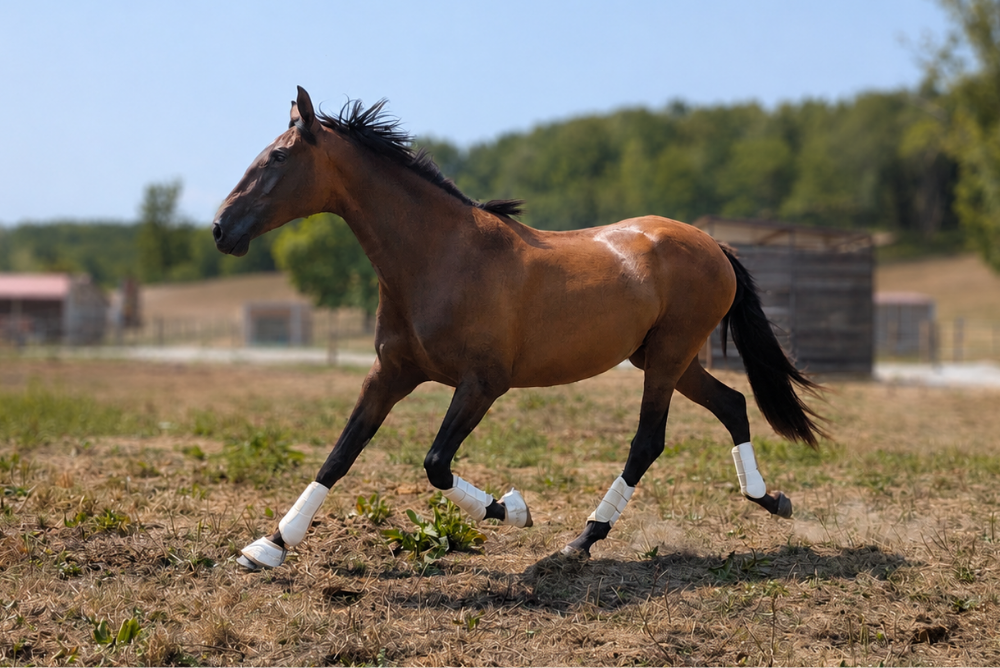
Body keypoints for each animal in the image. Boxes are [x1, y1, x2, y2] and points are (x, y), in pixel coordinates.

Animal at [213, 87, 825, 571]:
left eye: (278, 157)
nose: (221, 228)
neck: (440, 256)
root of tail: (713, 245)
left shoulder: (483, 384)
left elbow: (435, 464)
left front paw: (513, 510)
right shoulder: (391, 374)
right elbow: (341, 453)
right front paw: (268, 547)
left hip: (669, 357)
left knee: (649, 441)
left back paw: (581, 540)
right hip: (665, 359)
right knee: (733, 405)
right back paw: (772, 500)